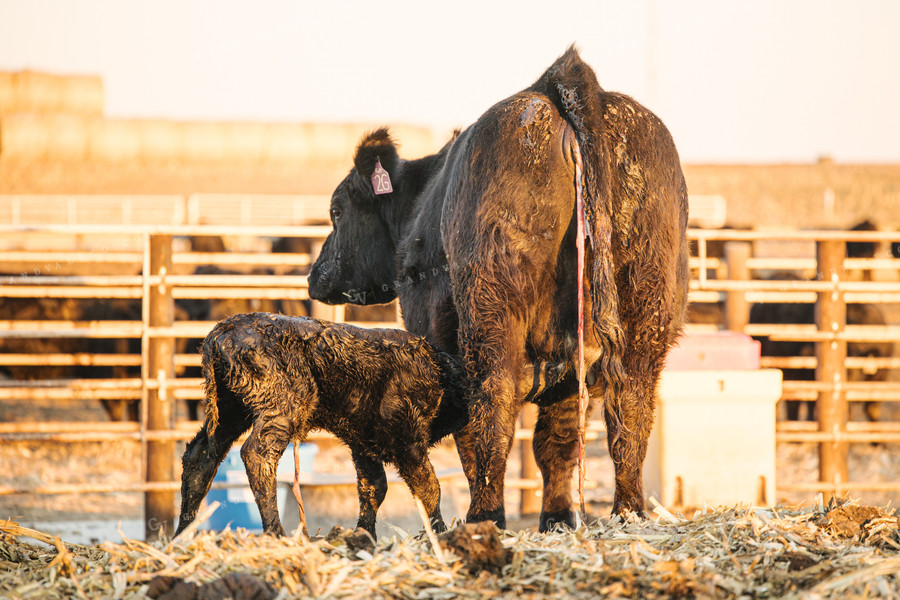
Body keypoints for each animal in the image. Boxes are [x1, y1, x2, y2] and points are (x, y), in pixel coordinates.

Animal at [178, 314, 472, 540]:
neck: (439, 374)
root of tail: (224, 329)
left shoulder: (363, 445)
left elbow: (373, 488)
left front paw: (365, 535)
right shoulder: (408, 443)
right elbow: (428, 487)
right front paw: (440, 533)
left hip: (229, 412)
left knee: (200, 458)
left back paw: (182, 535)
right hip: (279, 410)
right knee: (256, 454)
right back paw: (277, 533)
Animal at [310, 47, 688, 528]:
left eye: (336, 210)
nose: (316, 274)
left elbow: (474, 438)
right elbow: (556, 443)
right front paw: (557, 520)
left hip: (491, 311)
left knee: (493, 399)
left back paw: (484, 516)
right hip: (646, 307)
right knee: (631, 406)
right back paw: (628, 512)